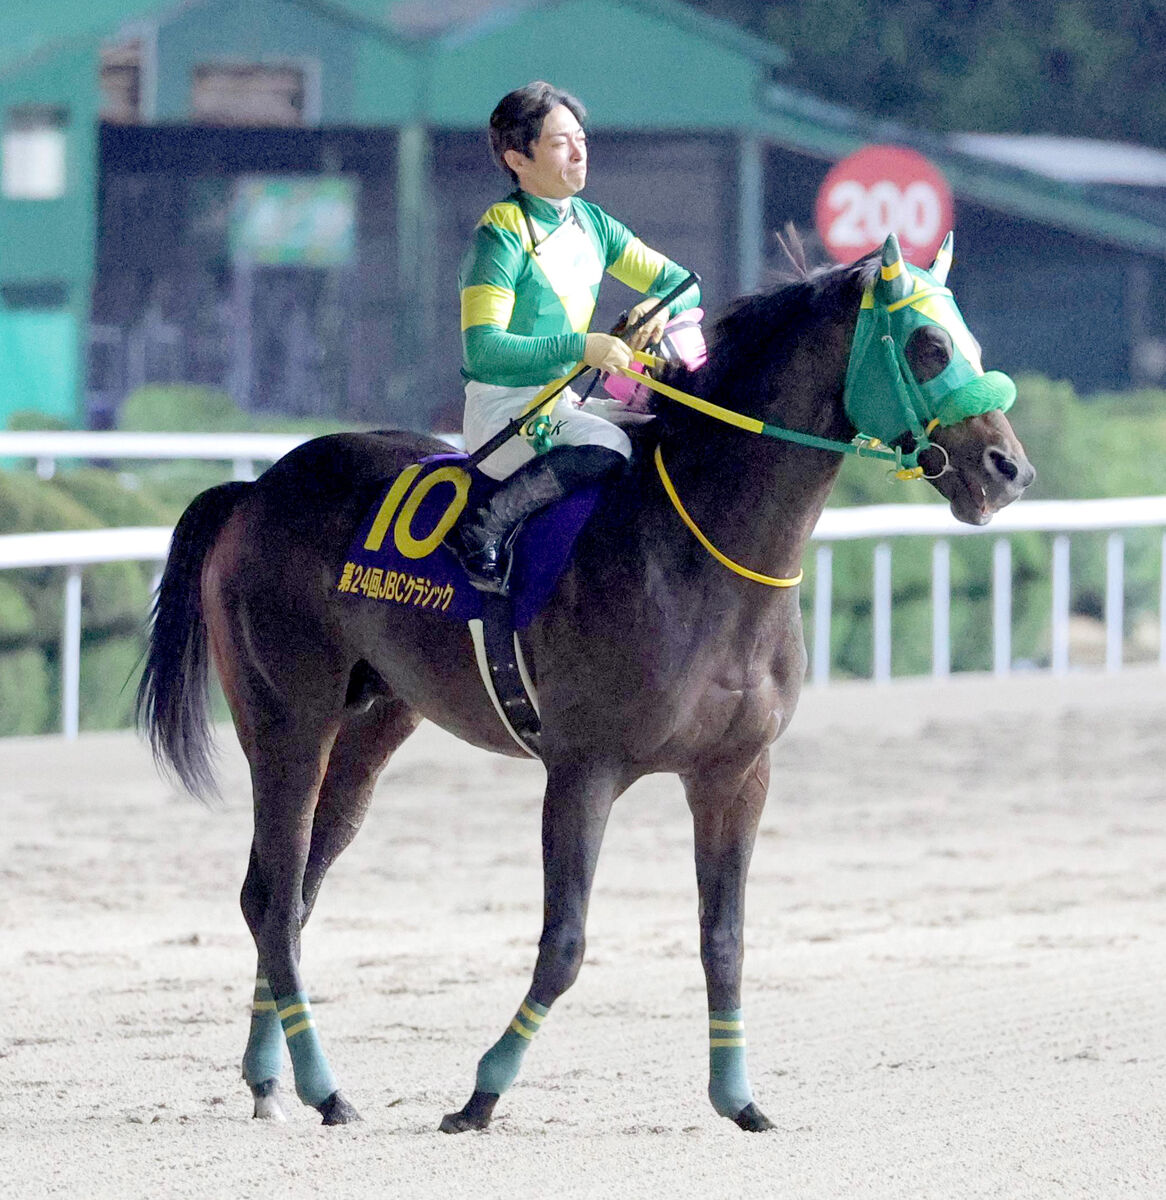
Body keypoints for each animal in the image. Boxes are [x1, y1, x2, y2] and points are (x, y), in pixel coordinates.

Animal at [134, 234, 1031, 1132]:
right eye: (928, 344)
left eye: (970, 338)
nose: (1009, 469)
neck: (701, 547)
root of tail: (256, 490)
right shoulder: (584, 769)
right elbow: (565, 944)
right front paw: (480, 1094)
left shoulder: (737, 771)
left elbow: (725, 939)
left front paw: (740, 1099)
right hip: (289, 717)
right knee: (274, 897)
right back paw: (326, 1088)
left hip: (373, 724)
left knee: (285, 894)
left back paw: (270, 1081)